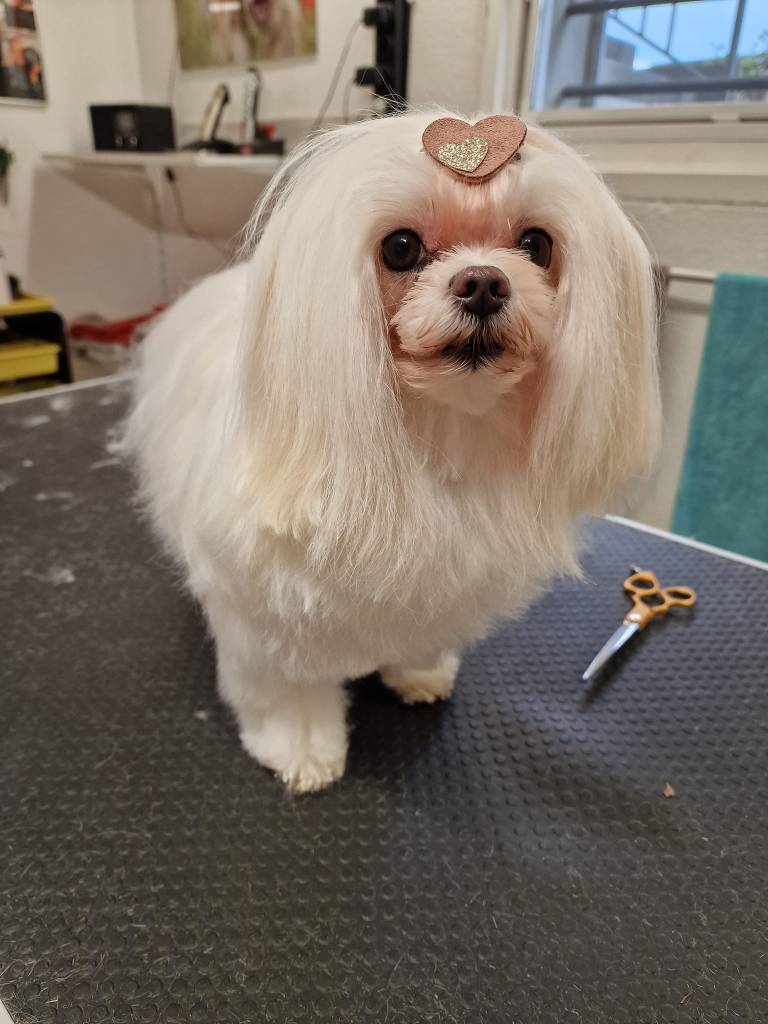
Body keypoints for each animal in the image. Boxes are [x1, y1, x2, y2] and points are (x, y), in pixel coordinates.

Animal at [127, 111, 659, 792]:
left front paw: (419, 672)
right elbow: (286, 686)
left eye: (537, 245)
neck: (434, 431)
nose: (483, 282)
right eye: (401, 247)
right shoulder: (265, 613)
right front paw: (301, 747)